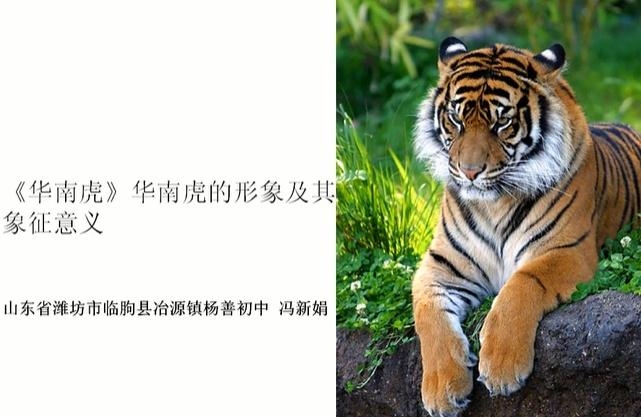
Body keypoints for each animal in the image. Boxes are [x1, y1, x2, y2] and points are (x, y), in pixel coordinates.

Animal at [412, 36, 641, 417]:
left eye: (502, 122)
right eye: (456, 119)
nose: (469, 172)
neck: (493, 204)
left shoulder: (567, 251)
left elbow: (520, 284)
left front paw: (501, 367)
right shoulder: (440, 266)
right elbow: (428, 315)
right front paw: (443, 389)